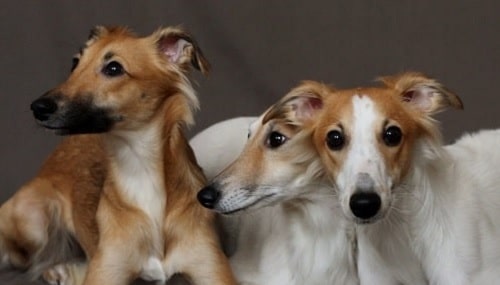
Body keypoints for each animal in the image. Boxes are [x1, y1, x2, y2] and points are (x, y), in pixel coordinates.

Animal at [0, 25, 235, 282]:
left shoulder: (212, 270)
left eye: (114, 68)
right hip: (34, 219)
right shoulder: (106, 270)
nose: (37, 108)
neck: (140, 168)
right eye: (75, 63)